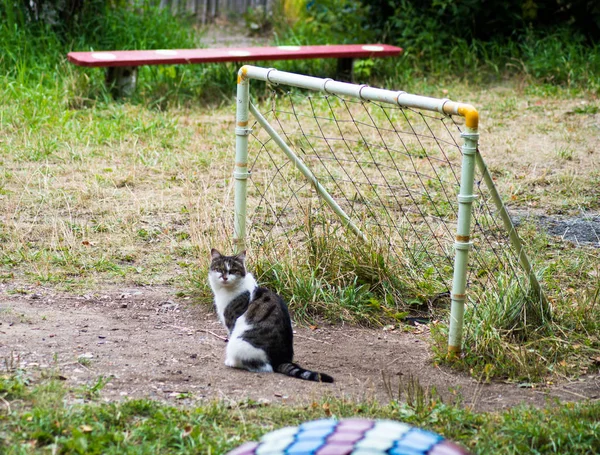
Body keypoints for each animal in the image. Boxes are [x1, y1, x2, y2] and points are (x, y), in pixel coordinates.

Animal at [209, 249, 336, 384]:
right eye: (219, 269)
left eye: (233, 270)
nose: (224, 277)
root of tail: (281, 359)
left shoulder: (232, 321)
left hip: (238, 343)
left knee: (263, 366)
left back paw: (231, 362)